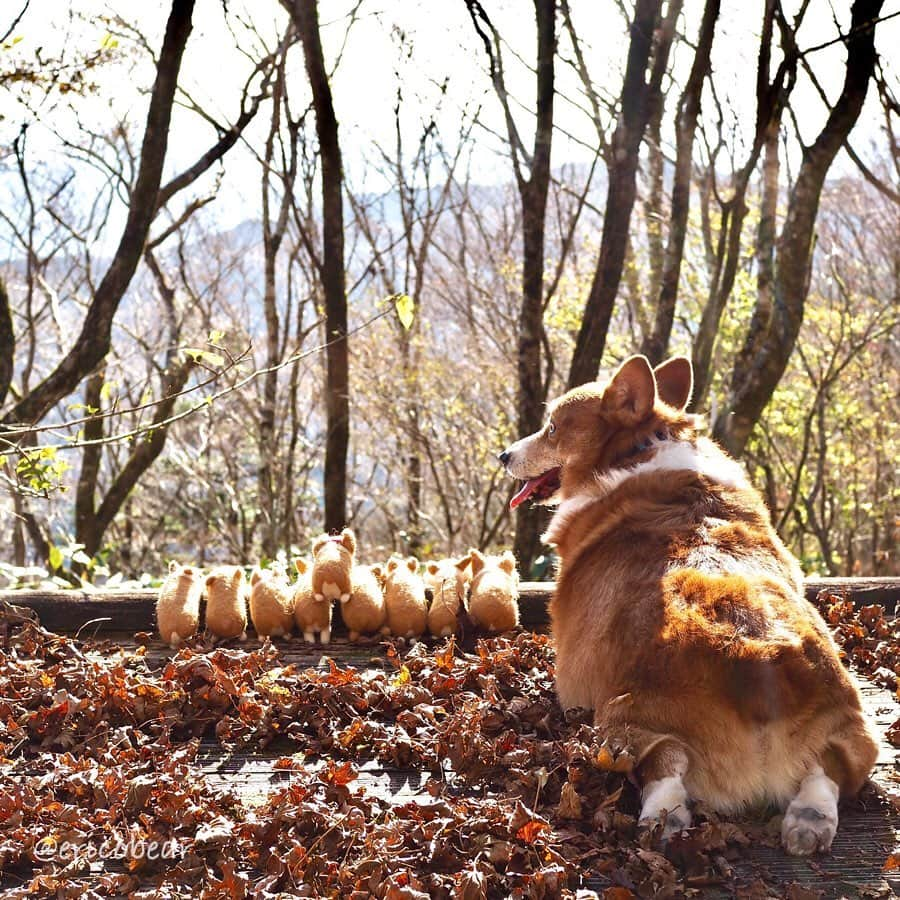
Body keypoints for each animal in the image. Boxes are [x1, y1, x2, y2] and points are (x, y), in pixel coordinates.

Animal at [496, 356, 876, 856]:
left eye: (553, 427)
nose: (503, 456)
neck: (637, 451)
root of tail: (759, 663)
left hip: (620, 719)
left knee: (665, 763)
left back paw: (664, 820)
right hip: (853, 730)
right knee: (826, 769)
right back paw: (809, 822)